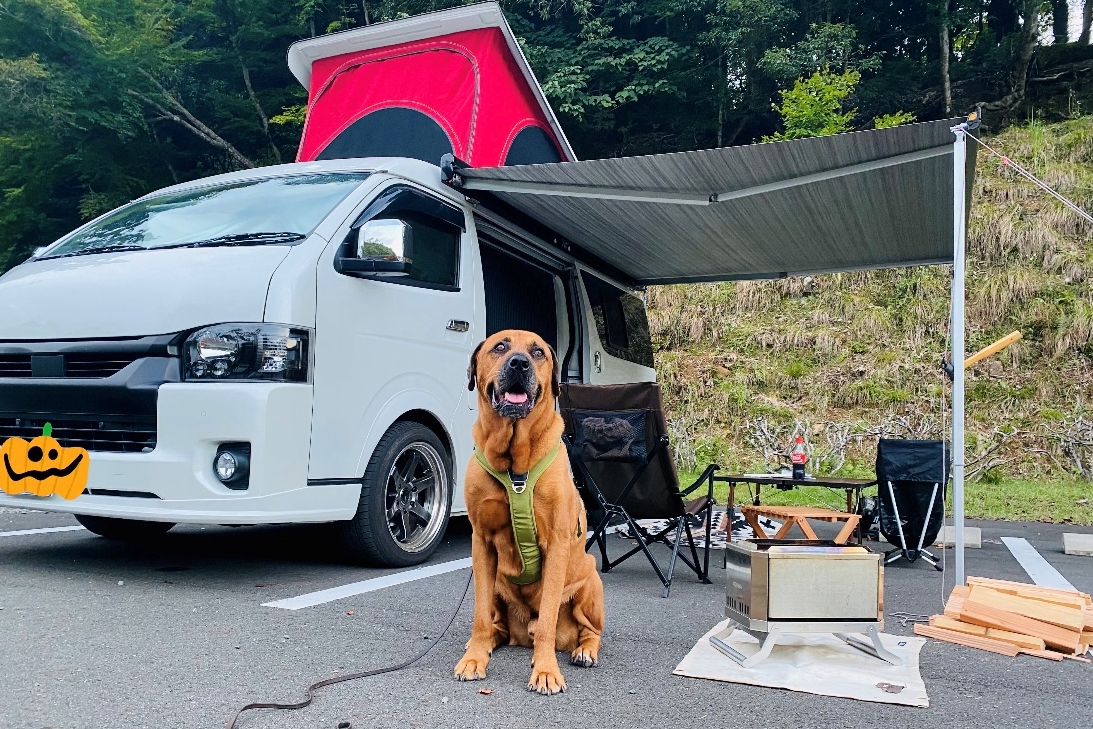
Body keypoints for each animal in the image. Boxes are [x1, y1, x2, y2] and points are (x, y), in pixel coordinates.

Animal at [454, 330, 604, 694]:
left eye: (538, 352)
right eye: (500, 347)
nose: (520, 363)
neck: (515, 467)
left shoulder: (557, 545)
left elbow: (549, 616)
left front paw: (546, 671)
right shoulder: (481, 543)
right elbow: (480, 616)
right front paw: (474, 659)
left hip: (590, 580)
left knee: (590, 631)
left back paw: (584, 651)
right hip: (496, 582)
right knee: (497, 625)